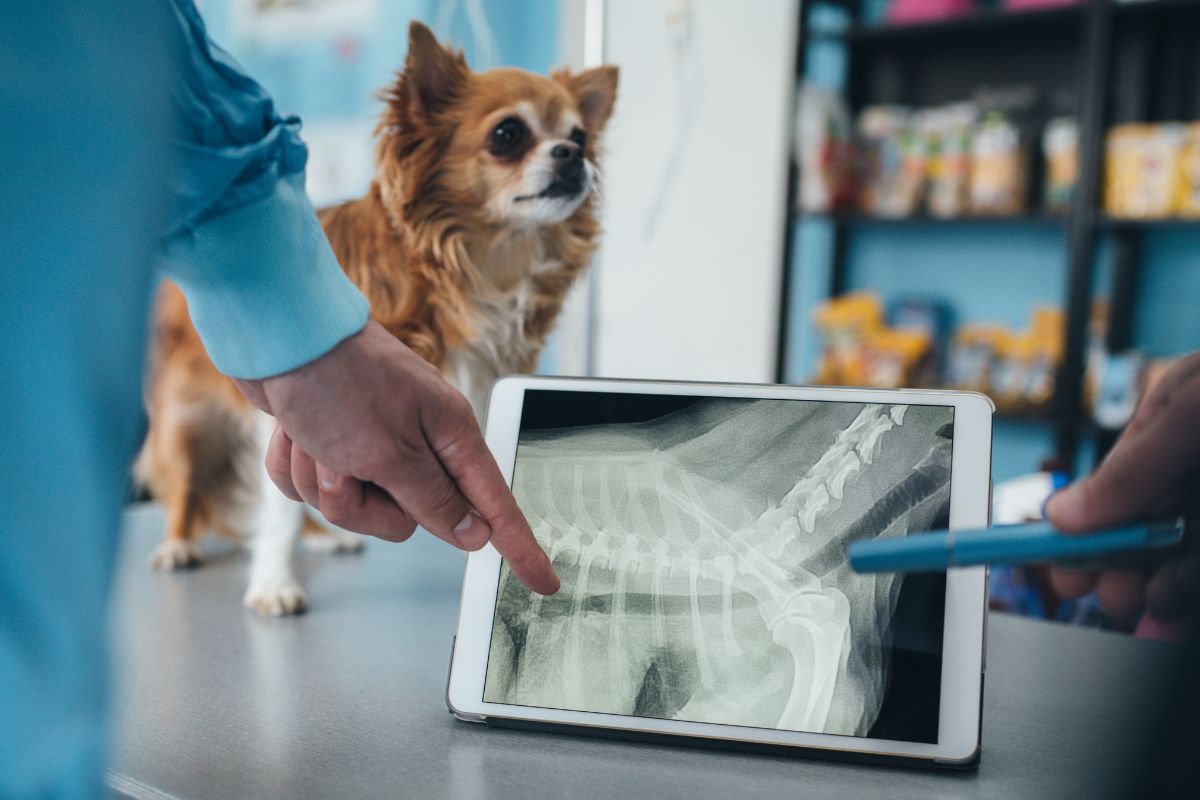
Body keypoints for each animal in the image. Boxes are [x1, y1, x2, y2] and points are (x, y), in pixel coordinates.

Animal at [136, 21, 614, 618]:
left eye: (581, 135)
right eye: (508, 133)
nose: (573, 154)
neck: (479, 268)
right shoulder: (303, 415)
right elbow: (278, 514)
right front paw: (273, 583)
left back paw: (327, 538)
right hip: (184, 426)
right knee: (188, 492)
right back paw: (178, 545)